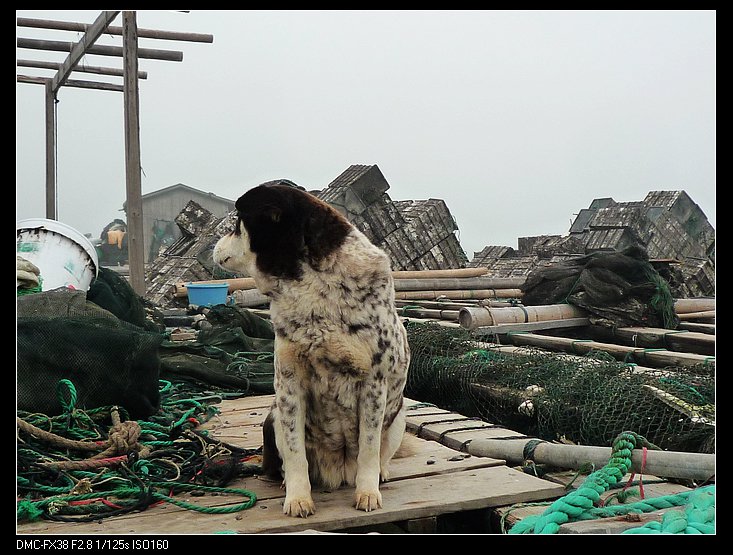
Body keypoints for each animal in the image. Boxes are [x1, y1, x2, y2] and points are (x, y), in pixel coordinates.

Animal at [213, 182, 412, 516]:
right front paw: (298, 498)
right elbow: (295, 452)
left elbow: (369, 448)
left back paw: (381, 474)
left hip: (398, 420)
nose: (214, 246)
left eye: (237, 223)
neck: (312, 281)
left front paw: (367, 493)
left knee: (380, 453)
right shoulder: (289, 383)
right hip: (271, 418)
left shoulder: (373, 384)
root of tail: (338, 472)